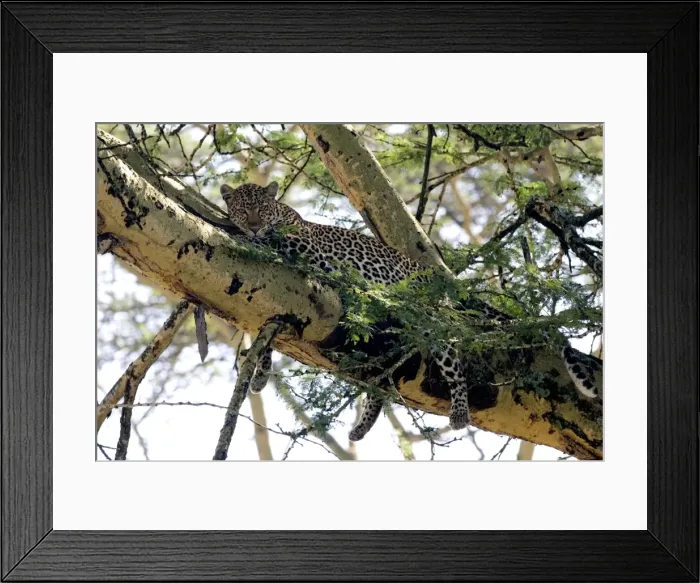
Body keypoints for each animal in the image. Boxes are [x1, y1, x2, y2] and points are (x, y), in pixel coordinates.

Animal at [220, 181, 601, 441]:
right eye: (242, 209)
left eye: (262, 209)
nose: (252, 224)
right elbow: (266, 332)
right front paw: (261, 374)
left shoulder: (303, 247)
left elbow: (271, 242)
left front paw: (247, 236)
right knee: (380, 381)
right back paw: (361, 427)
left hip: (429, 321)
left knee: (453, 359)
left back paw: (460, 412)